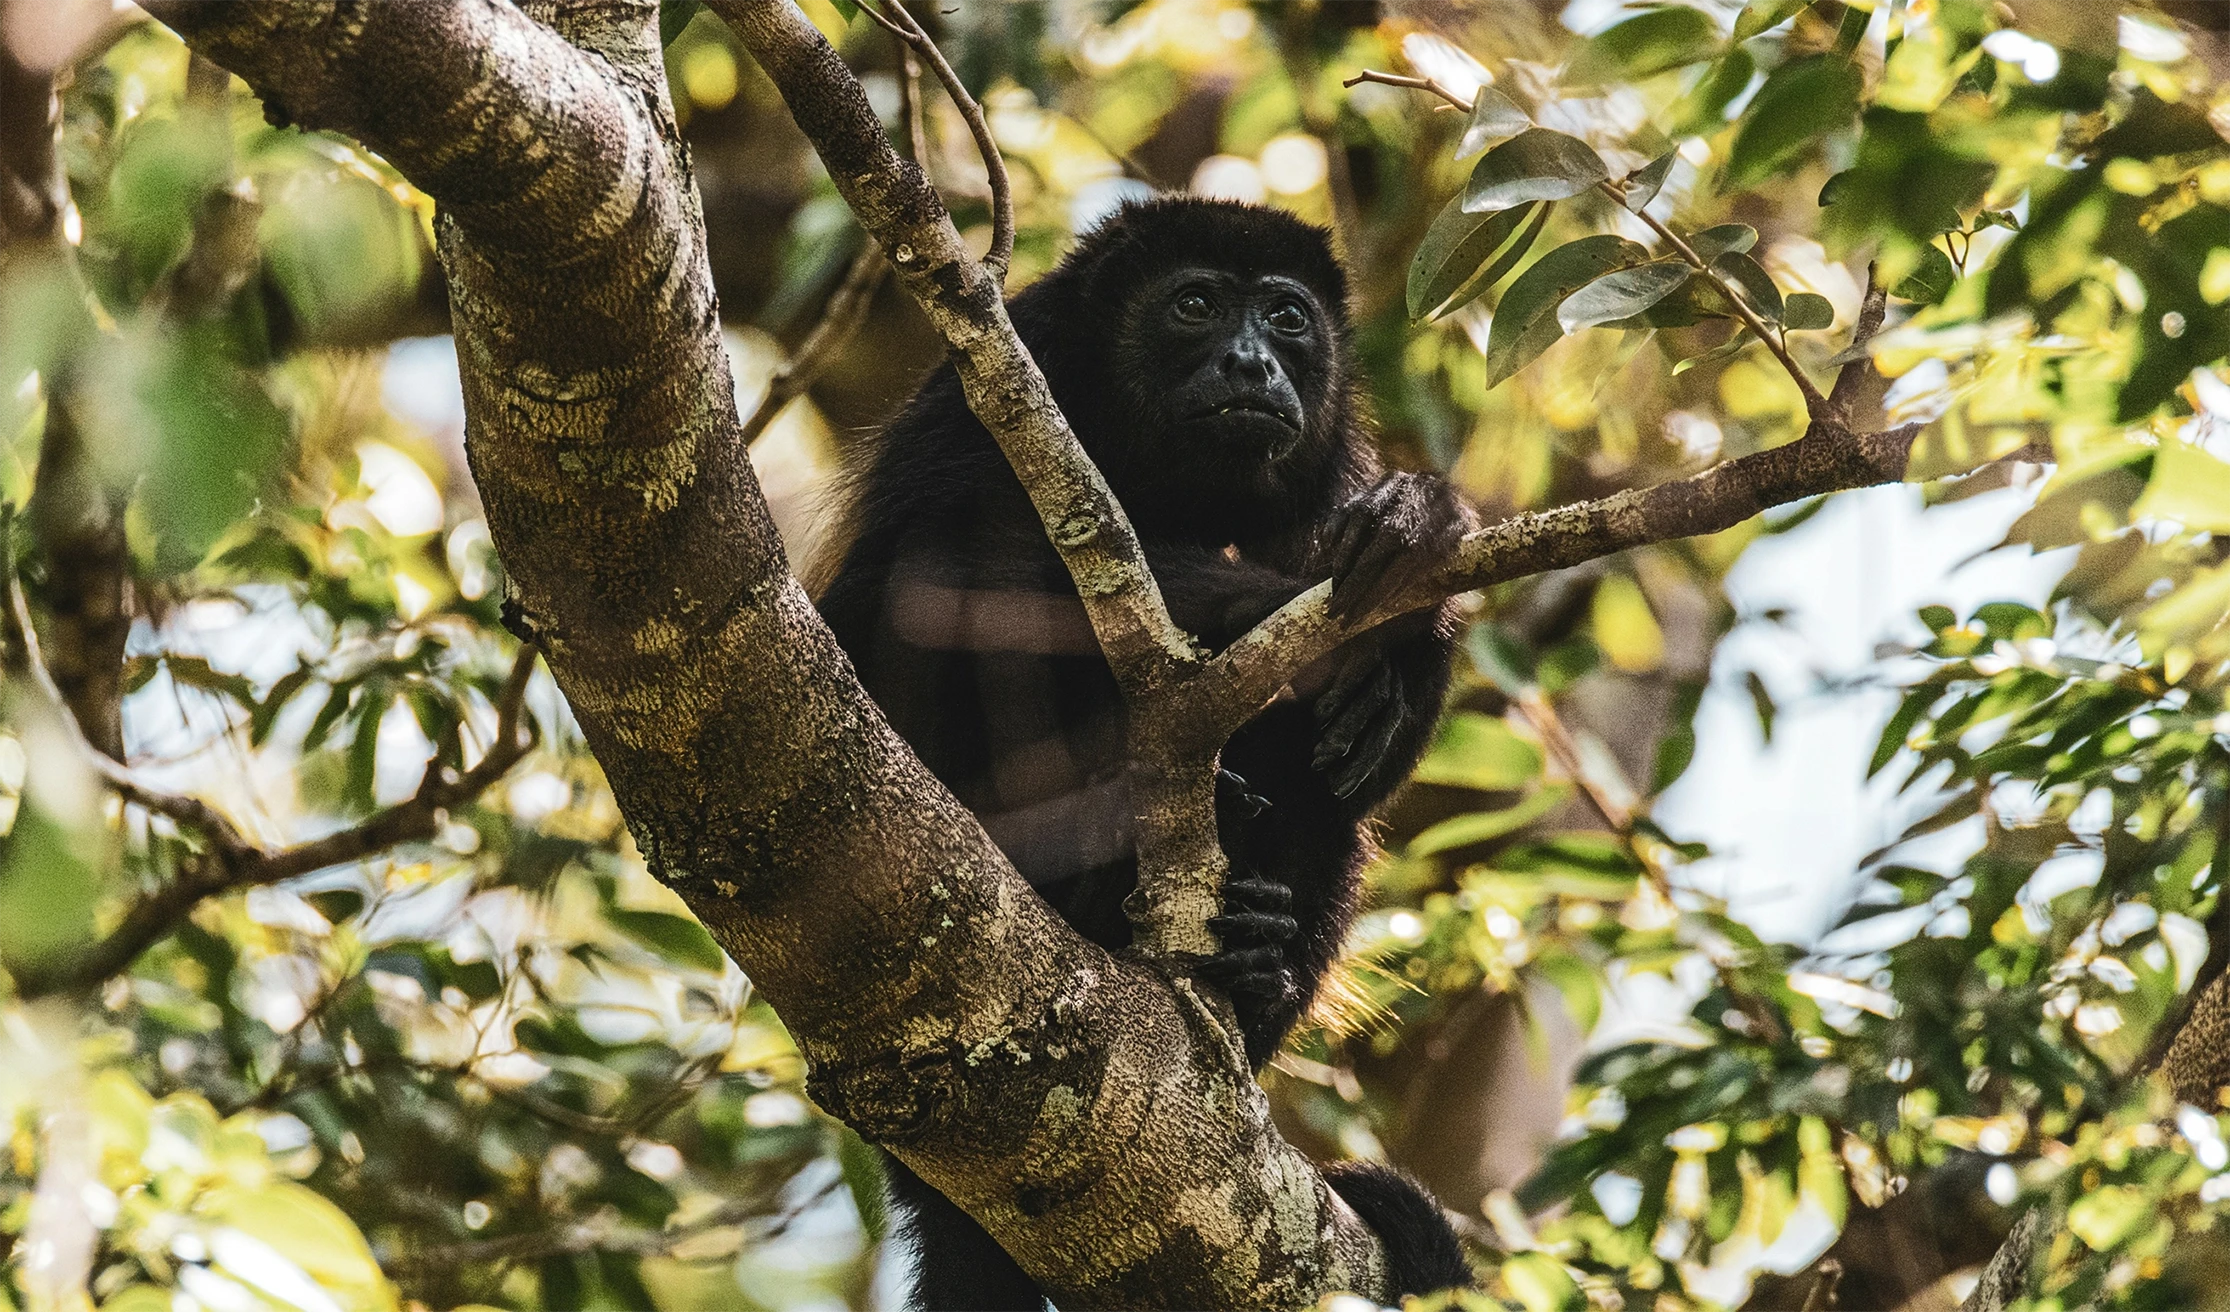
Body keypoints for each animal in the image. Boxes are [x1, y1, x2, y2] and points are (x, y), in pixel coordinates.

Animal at [812, 196, 1475, 1310]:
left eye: (1288, 318)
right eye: (1195, 304)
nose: (1253, 363)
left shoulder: (1328, 454)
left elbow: (1366, 764)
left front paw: (1417, 553)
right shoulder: (1005, 371)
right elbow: (932, 575)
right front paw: (1276, 602)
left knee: (1326, 810)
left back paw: (1256, 963)